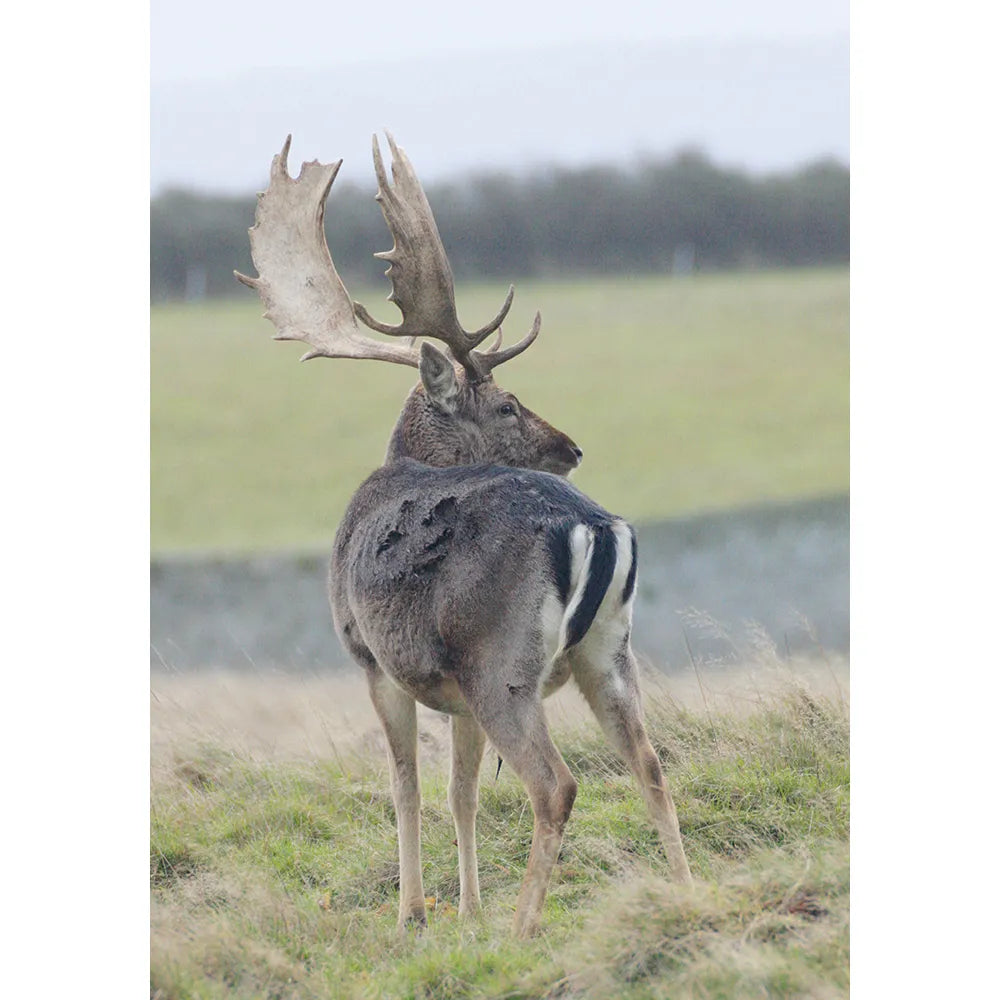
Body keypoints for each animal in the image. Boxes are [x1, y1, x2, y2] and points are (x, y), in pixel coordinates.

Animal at [236, 133, 692, 938]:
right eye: (508, 405)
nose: (571, 445)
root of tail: (595, 530)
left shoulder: (370, 657)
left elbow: (407, 788)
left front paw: (414, 915)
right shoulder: (451, 692)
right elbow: (463, 791)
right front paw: (467, 911)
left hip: (500, 662)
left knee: (556, 784)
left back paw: (523, 929)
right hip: (606, 650)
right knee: (650, 762)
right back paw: (688, 894)